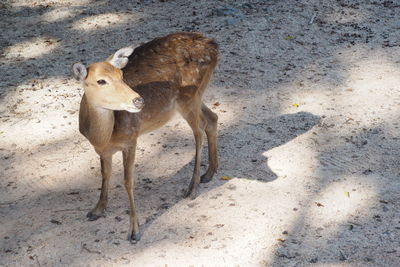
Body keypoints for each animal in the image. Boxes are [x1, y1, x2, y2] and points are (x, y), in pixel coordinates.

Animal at [72, 32, 219, 244]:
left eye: (121, 76)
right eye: (101, 81)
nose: (138, 100)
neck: (102, 136)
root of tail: (214, 46)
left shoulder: (131, 139)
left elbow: (128, 181)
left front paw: (134, 232)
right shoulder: (102, 150)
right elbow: (105, 174)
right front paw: (97, 210)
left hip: (188, 97)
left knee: (200, 129)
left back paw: (192, 187)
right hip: (197, 95)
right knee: (212, 118)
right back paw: (210, 172)